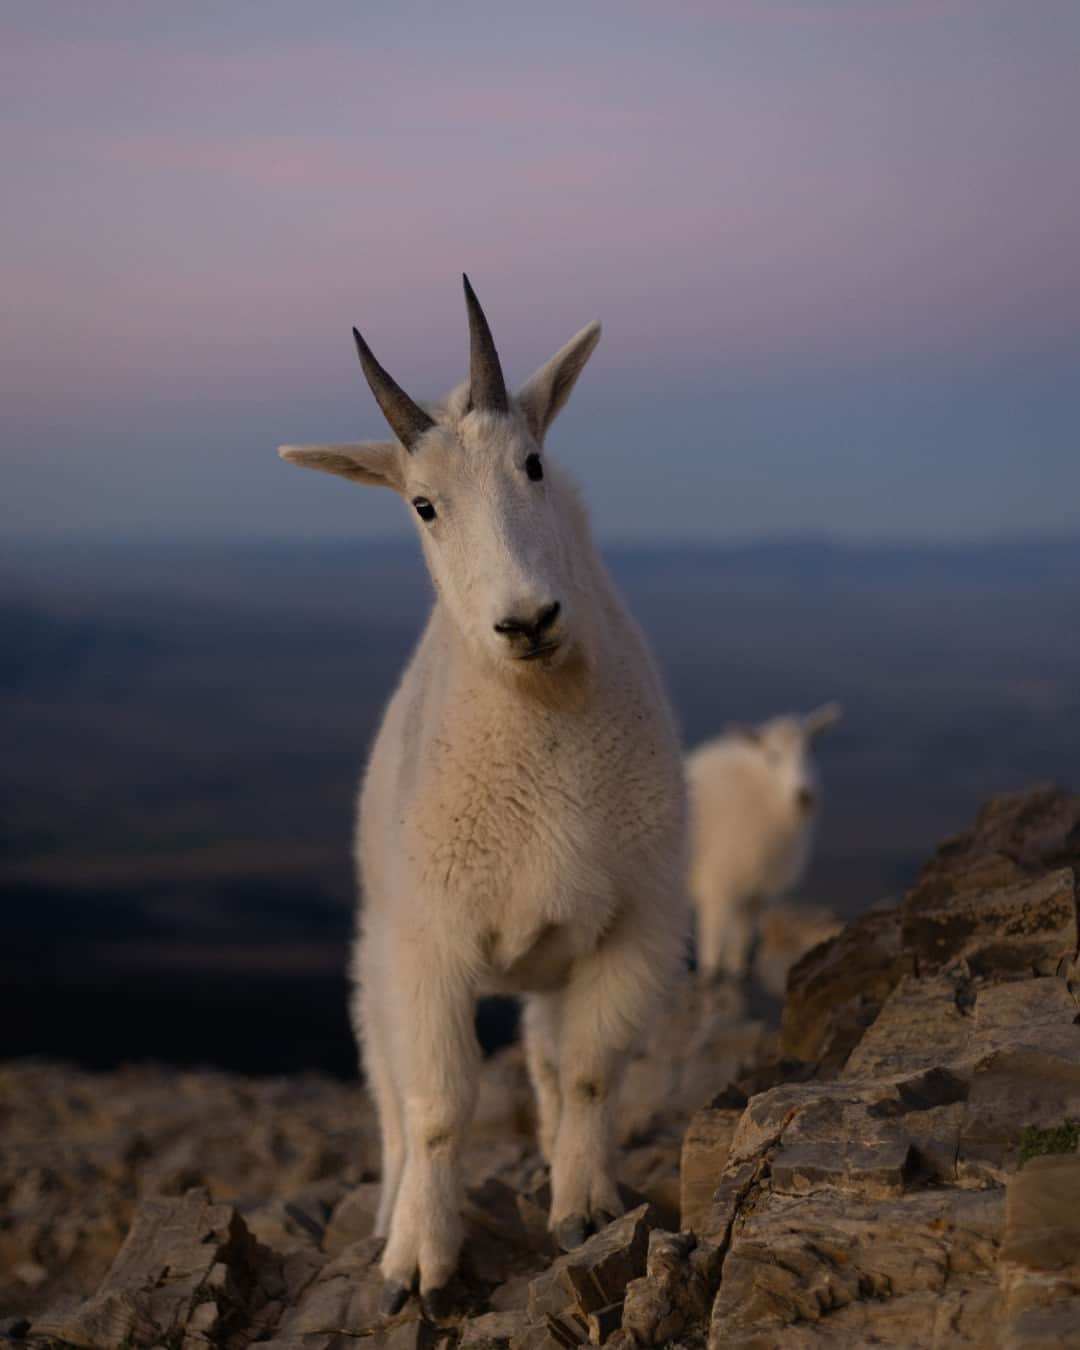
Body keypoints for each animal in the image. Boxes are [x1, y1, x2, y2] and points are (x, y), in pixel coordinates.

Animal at [278, 276, 683, 1317]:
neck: (543, 725)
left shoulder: (632, 926)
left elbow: (586, 1075)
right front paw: (418, 1264)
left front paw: (583, 1211)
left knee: (544, 1062)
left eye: (533, 463)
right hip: (375, 962)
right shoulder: (430, 946)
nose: (527, 620)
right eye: (424, 505)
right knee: (389, 1101)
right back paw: (388, 1215)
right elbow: (435, 1110)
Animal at [683, 707, 842, 982]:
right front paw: (709, 972)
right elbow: (712, 938)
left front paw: (736, 969)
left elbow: (742, 935)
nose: (804, 795)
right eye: (772, 756)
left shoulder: (753, 889)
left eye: (811, 748)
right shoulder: (718, 883)